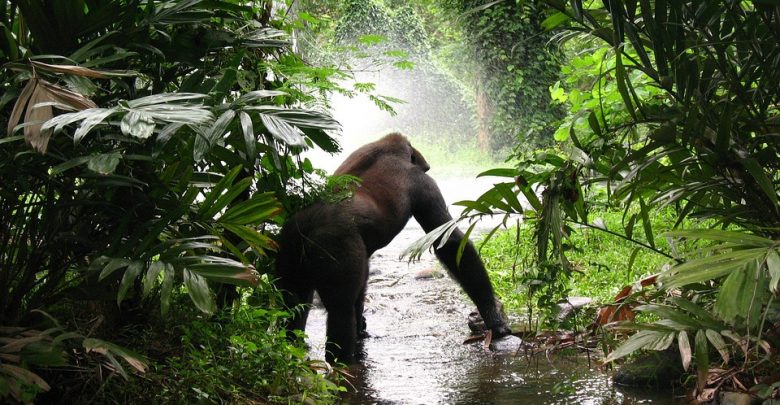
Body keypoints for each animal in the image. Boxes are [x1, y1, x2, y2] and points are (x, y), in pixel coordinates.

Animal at [275, 133, 511, 363]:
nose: (427, 166)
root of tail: (308, 224)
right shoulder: (423, 183)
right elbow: (450, 242)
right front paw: (493, 317)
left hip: (287, 244)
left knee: (293, 303)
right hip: (333, 243)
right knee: (340, 310)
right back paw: (342, 362)